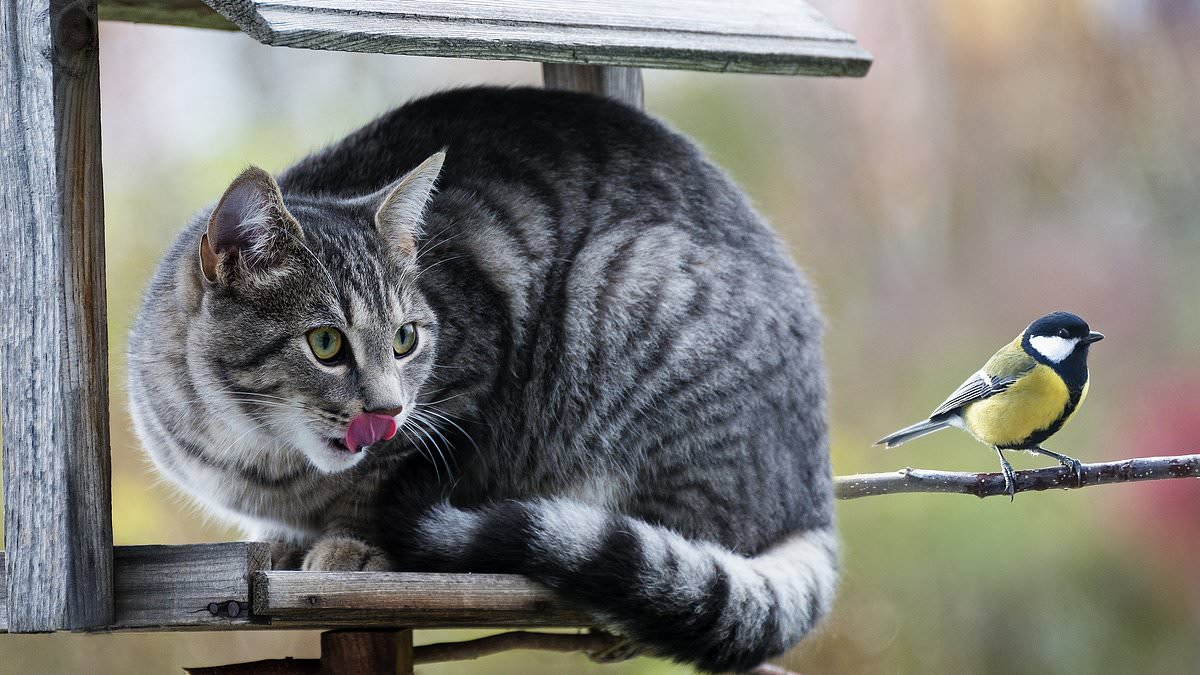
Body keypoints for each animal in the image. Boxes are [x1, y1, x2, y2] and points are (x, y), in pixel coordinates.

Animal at [129, 85, 835, 667]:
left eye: (406, 339)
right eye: (325, 343)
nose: (387, 410)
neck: (259, 457)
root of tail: (815, 491)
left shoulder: (464, 387)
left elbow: (380, 484)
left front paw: (350, 544)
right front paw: (279, 543)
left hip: (628, 290)